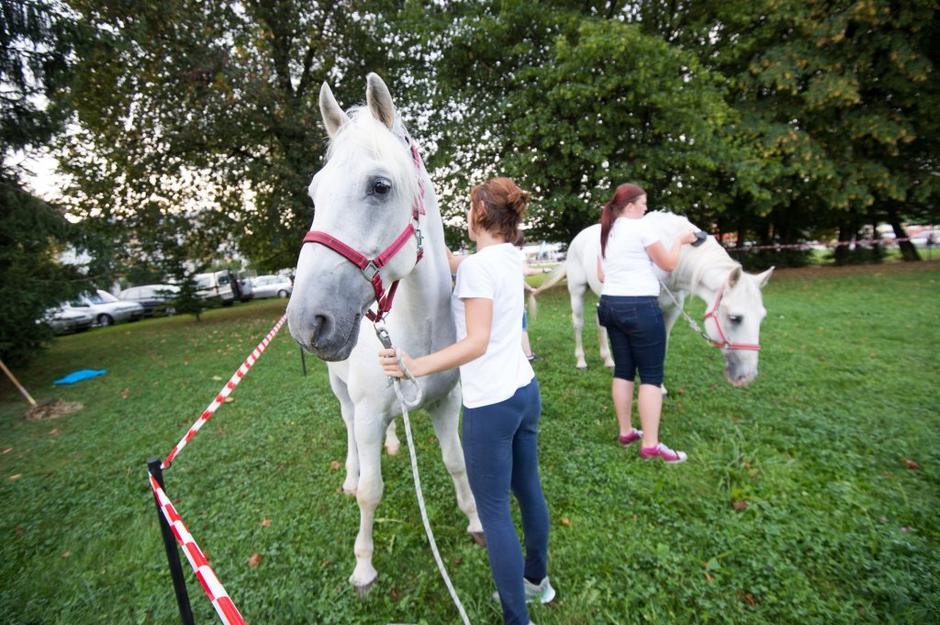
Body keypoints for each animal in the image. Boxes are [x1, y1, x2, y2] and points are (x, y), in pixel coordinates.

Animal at [286, 73, 482, 588]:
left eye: (379, 186)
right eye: (314, 193)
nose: (306, 321)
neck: (416, 330)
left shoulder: (444, 403)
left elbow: (457, 462)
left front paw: (475, 521)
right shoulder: (370, 415)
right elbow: (370, 493)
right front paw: (363, 566)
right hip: (342, 394)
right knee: (350, 430)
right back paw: (351, 472)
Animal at [532, 213, 776, 386]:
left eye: (762, 317)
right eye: (735, 318)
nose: (746, 376)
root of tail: (576, 240)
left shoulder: (672, 311)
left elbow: (662, 347)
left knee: (600, 323)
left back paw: (608, 360)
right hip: (577, 291)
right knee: (578, 323)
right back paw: (581, 361)